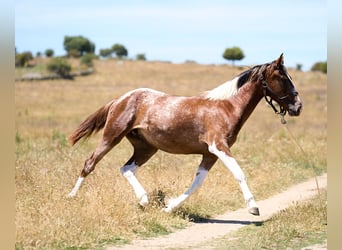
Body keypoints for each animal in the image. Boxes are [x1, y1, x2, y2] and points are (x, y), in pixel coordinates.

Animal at [67, 53, 302, 216]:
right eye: (283, 77)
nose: (298, 106)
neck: (226, 107)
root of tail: (120, 99)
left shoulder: (210, 154)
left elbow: (196, 183)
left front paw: (169, 207)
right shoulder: (218, 146)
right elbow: (239, 173)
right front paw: (253, 207)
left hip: (146, 147)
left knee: (126, 169)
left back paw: (143, 200)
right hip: (111, 137)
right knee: (90, 163)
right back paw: (72, 196)